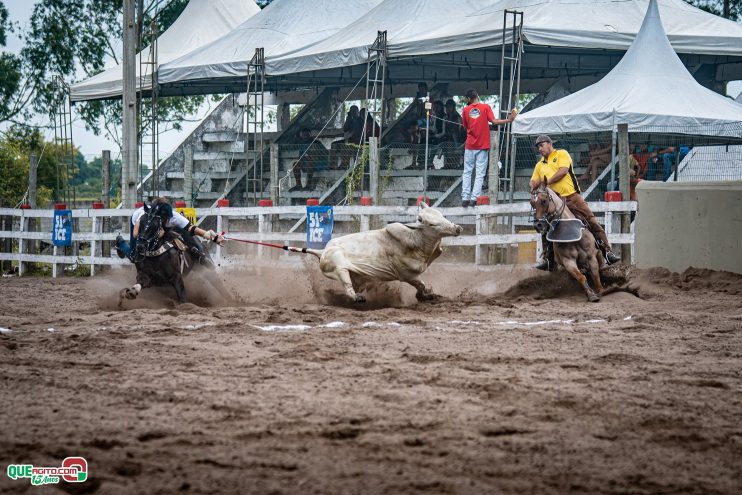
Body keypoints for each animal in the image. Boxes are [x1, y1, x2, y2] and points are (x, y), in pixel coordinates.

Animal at [306, 203, 462, 304]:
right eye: (431, 224)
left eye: (442, 215)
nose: (457, 228)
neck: (415, 240)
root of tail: (322, 251)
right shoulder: (407, 276)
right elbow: (421, 284)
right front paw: (424, 296)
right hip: (339, 268)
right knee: (348, 287)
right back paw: (357, 298)